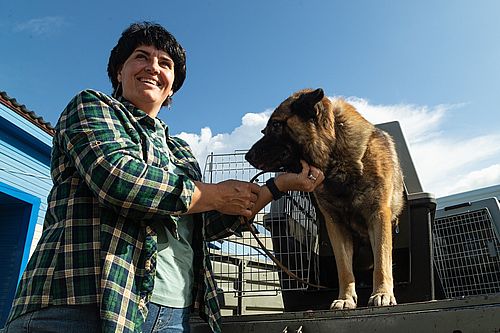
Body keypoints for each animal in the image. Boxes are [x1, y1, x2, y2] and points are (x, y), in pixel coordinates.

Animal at [244, 88, 404, 308]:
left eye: (276, 125)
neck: (335, 152)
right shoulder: (336, 225)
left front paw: (382, 293)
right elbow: (344, 270)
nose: (247, 156)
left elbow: (381, 262)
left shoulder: (378, 215)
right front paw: (345, 298)